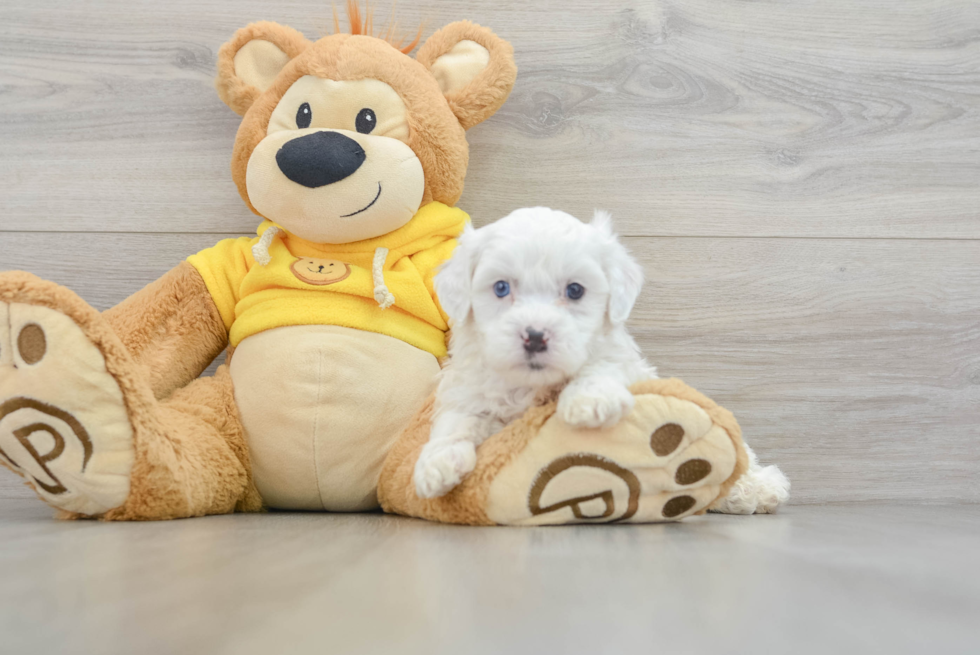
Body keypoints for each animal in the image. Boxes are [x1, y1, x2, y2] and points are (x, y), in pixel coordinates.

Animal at [412, 208, 788, 516]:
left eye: (575, 290)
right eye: (501, 288)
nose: (535, 336)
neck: (534, 386)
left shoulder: (620, 361)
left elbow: (600, 367)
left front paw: (587, 401)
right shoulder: (469, 389)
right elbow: (456, 422)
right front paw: (436, 464)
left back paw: (757, 490)